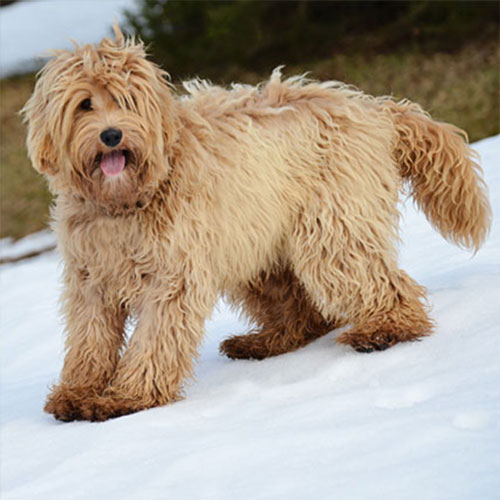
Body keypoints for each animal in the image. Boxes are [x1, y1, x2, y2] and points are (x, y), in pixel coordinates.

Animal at [21, 25, 490, 420]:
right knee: (301, 311)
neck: (126, 201)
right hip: (258, 247)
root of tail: (370, 109)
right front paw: (78, 392)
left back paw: (385, 329)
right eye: (85, 104)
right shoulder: (91, 278)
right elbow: (90, 339)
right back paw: (262, 342)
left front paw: (128, 396)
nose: (112, 135)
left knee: (382, 284)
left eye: (127, 102)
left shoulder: (172, 275)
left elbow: (155, 337)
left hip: (332, 228)